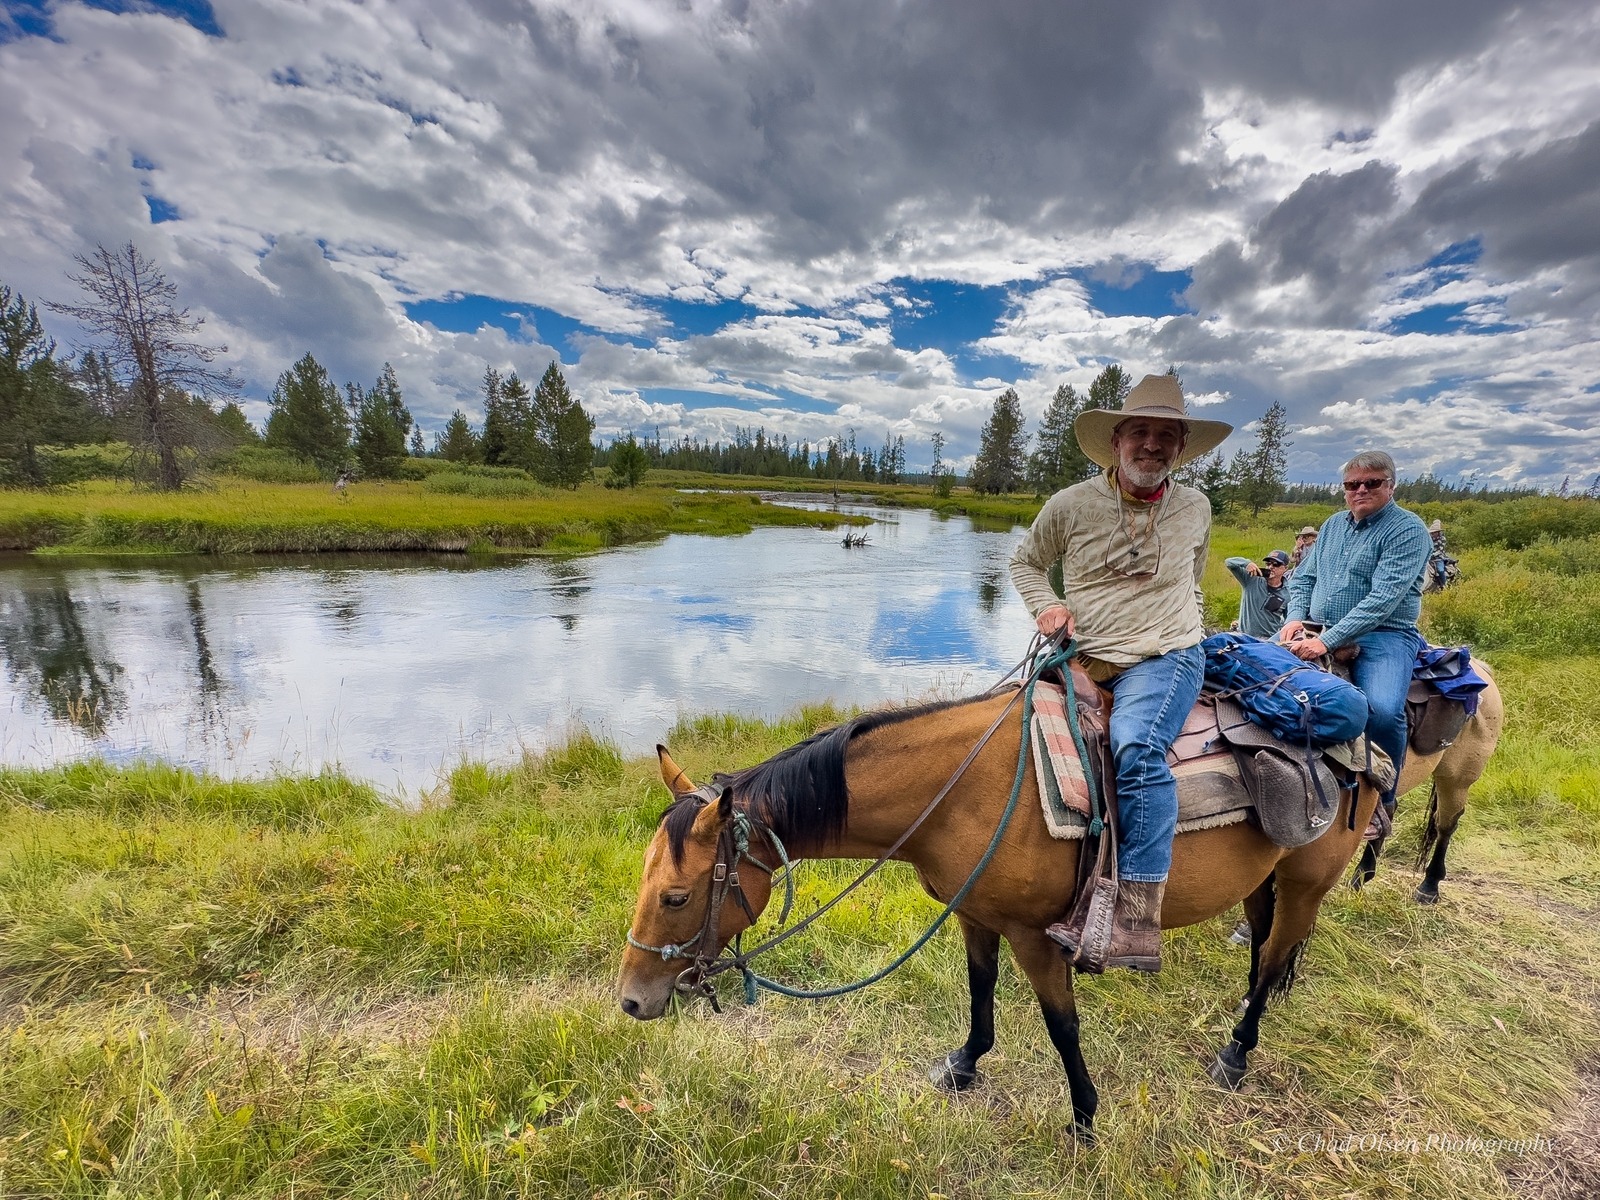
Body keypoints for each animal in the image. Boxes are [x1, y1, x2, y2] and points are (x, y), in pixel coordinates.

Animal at [620, 672, 1497, 1139]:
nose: (631, 1001)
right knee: (1262, 950)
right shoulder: (975, 916)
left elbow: (1060, 1026)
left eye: (676, 894)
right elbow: (979, 996)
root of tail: (1360, 740)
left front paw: (1083, 1116)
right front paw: (964, 1066)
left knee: (1281, 950)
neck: (963, 793)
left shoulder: (1039, 937)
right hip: (1264, 878)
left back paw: (1238, 1050)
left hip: (1312, 879)